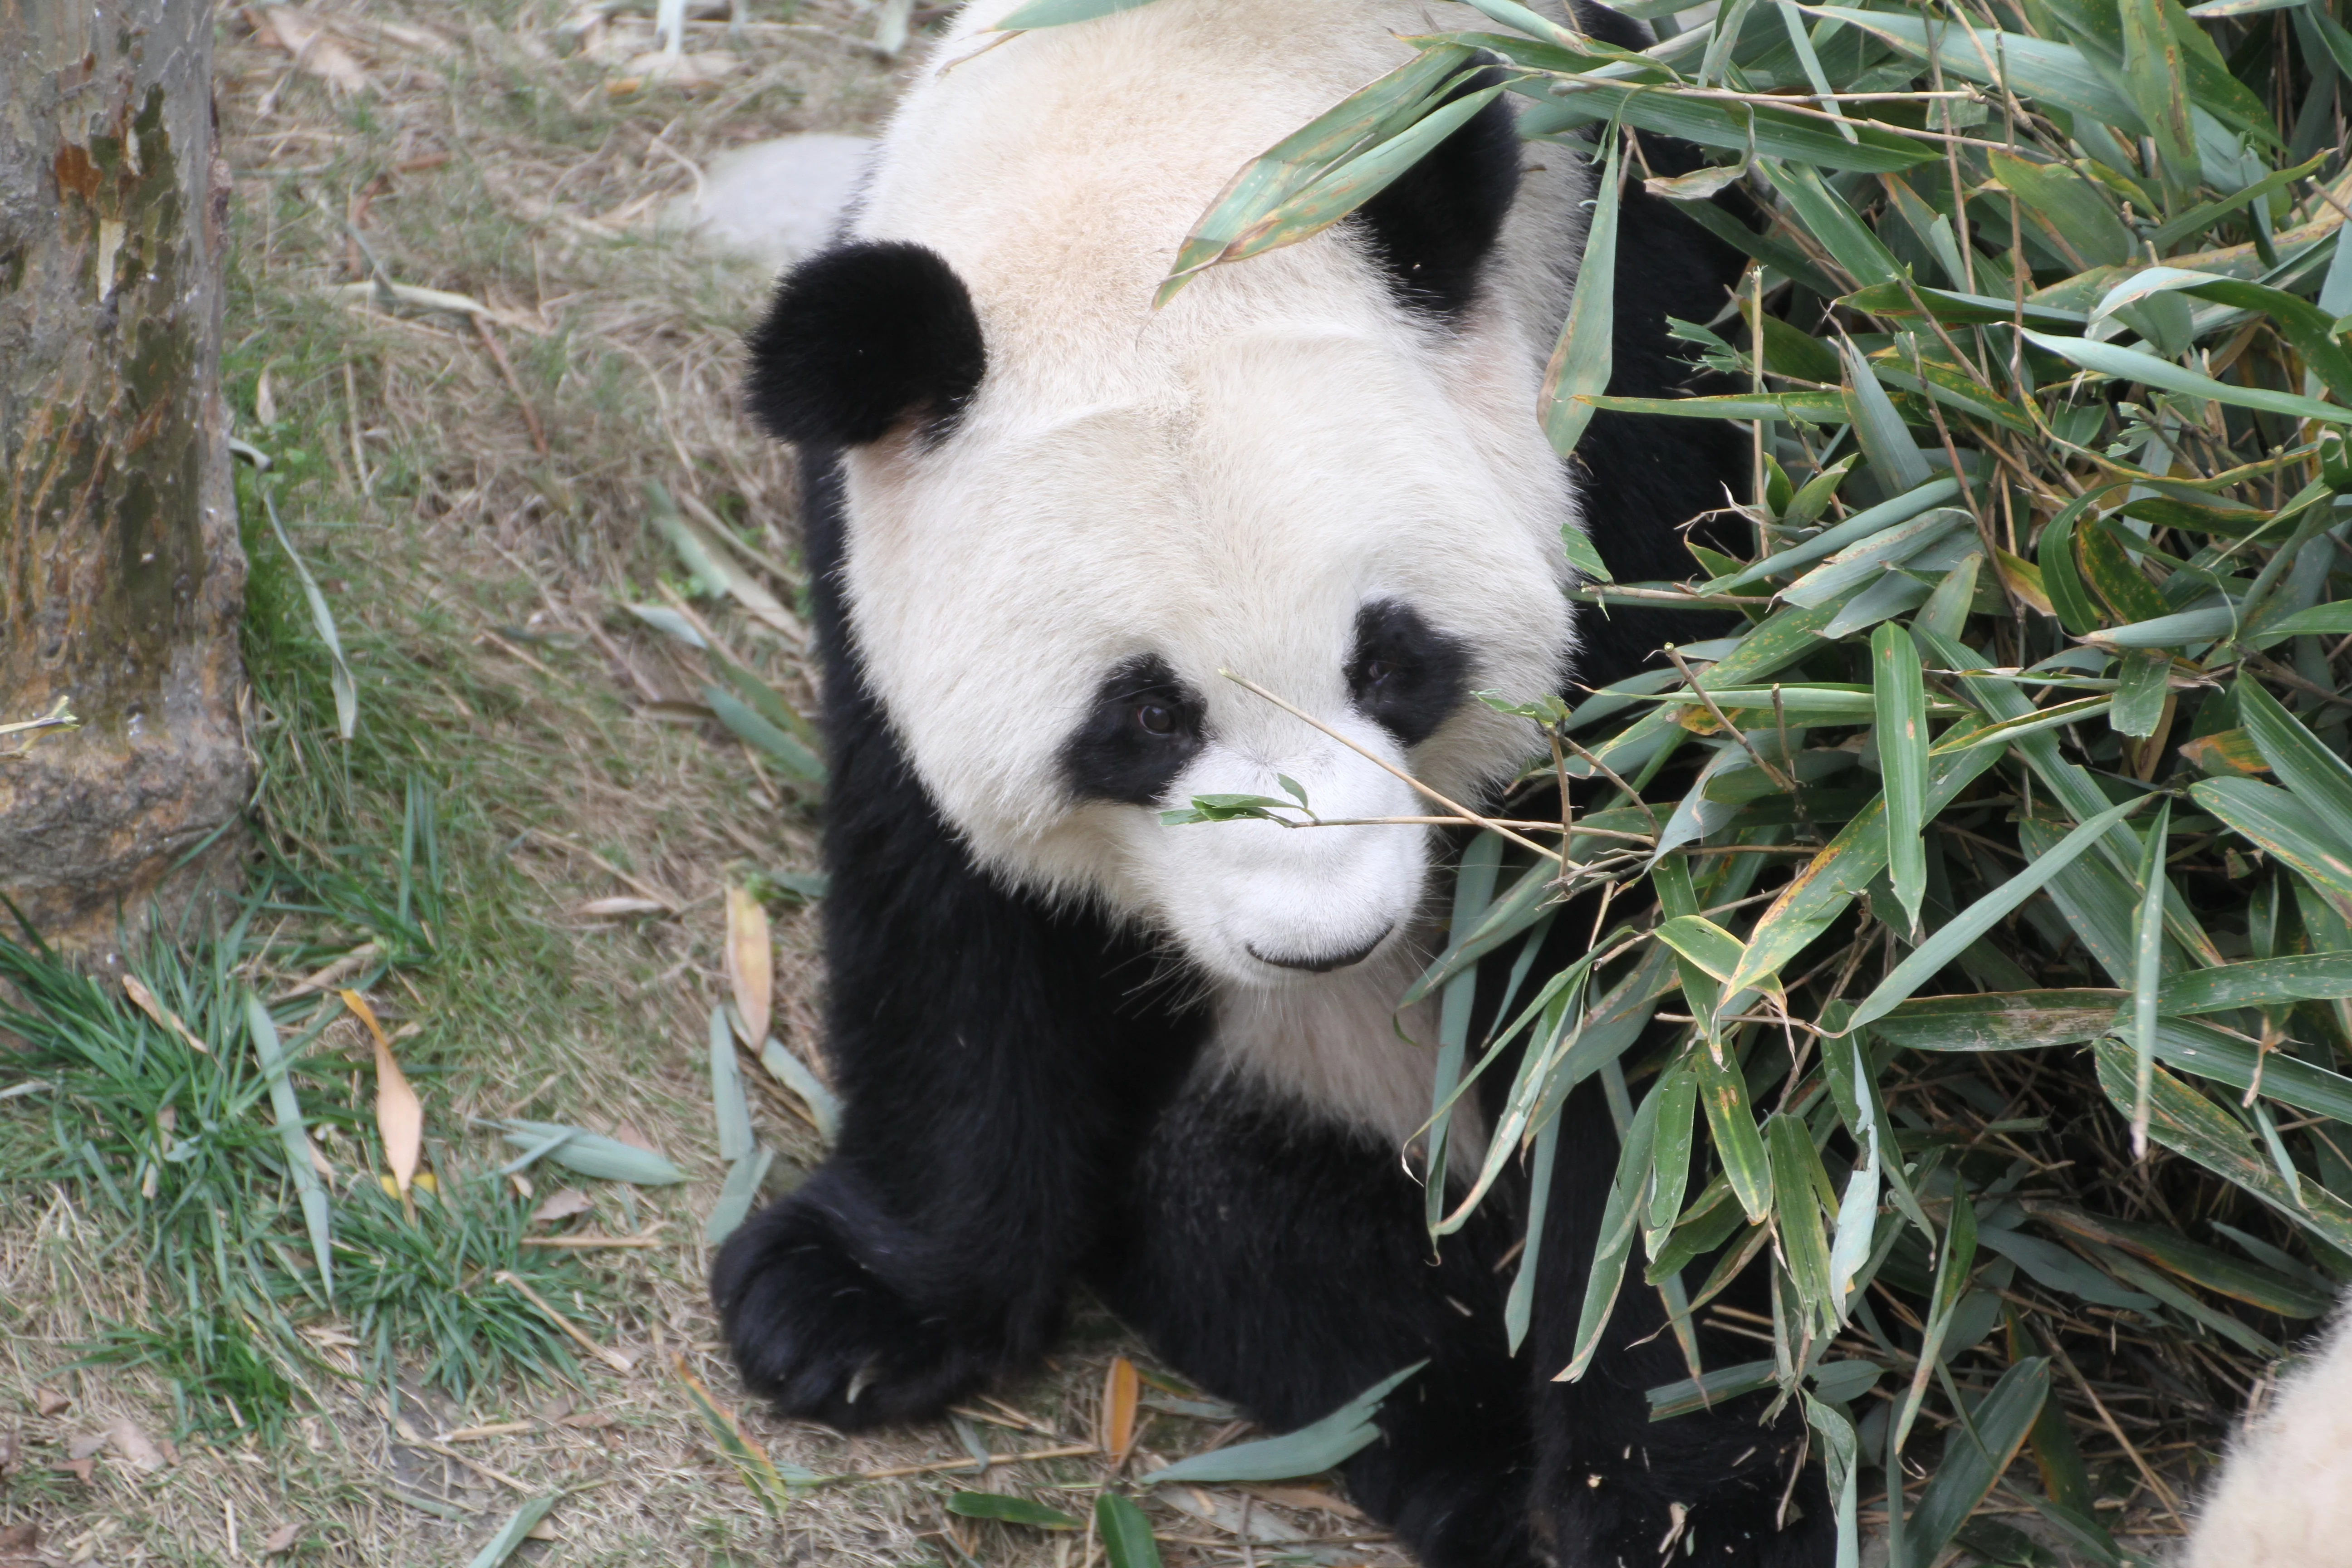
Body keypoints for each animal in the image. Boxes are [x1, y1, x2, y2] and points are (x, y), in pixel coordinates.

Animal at [710, 3, 1826, 1564]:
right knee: (1248, 1217)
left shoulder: (1636, 372)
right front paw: (848, 1307)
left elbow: (1659, 1002)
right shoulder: (865, 533)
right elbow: (947, 900)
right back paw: (1457, 1458)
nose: (1326, 946)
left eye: (1395, 662)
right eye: (1141, 720)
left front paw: (1680, 1504)